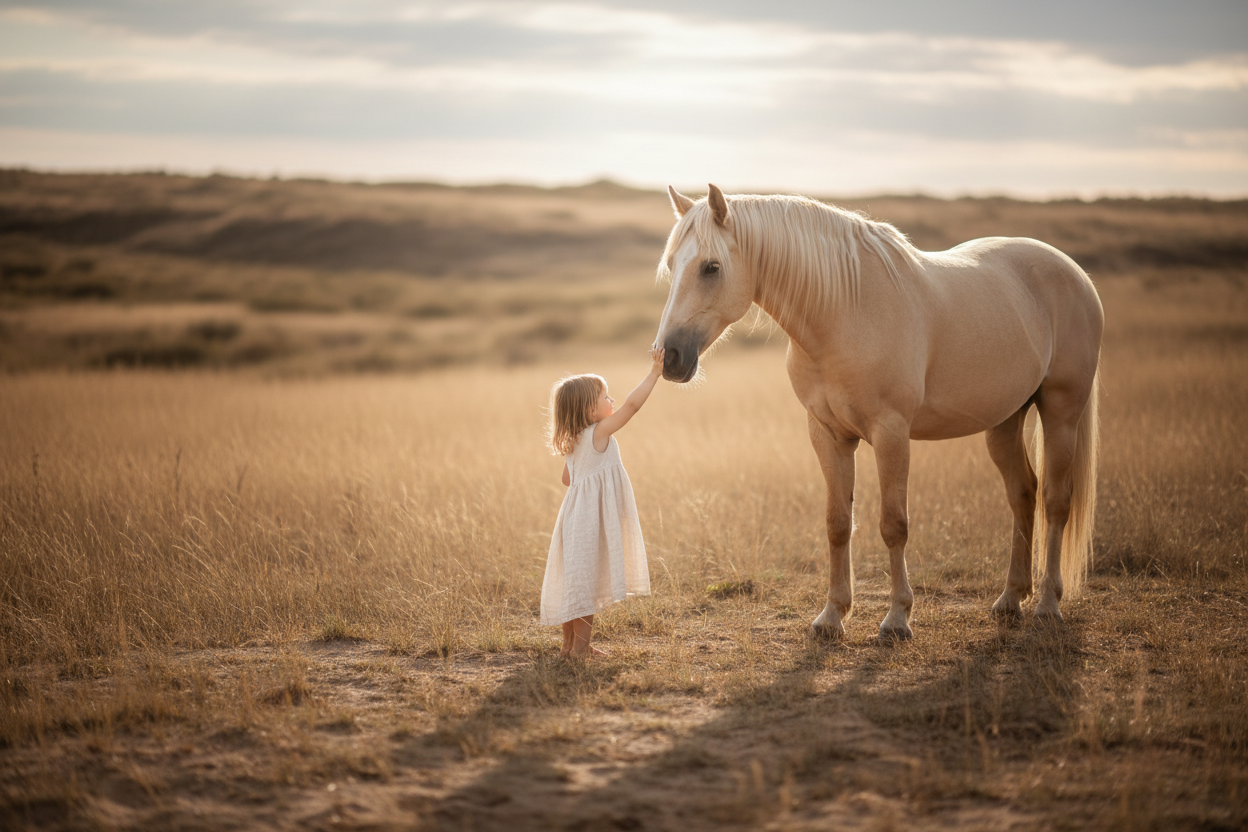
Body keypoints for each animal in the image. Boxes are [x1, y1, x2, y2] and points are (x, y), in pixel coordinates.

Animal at [654, 184, 1102, 640]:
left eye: (711, 267)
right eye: (672, 265)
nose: (668, 357)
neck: (845, 312)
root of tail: (1075, 272)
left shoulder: (891, 434)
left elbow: (893, 524)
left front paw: (897, 618)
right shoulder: (828, 434)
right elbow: (837, 523)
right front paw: (832, 616)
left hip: (1061, 412)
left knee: (1055, 501)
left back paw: (1047, 604)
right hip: (1005, 421)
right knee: (1023, 494)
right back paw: (1011, 598)